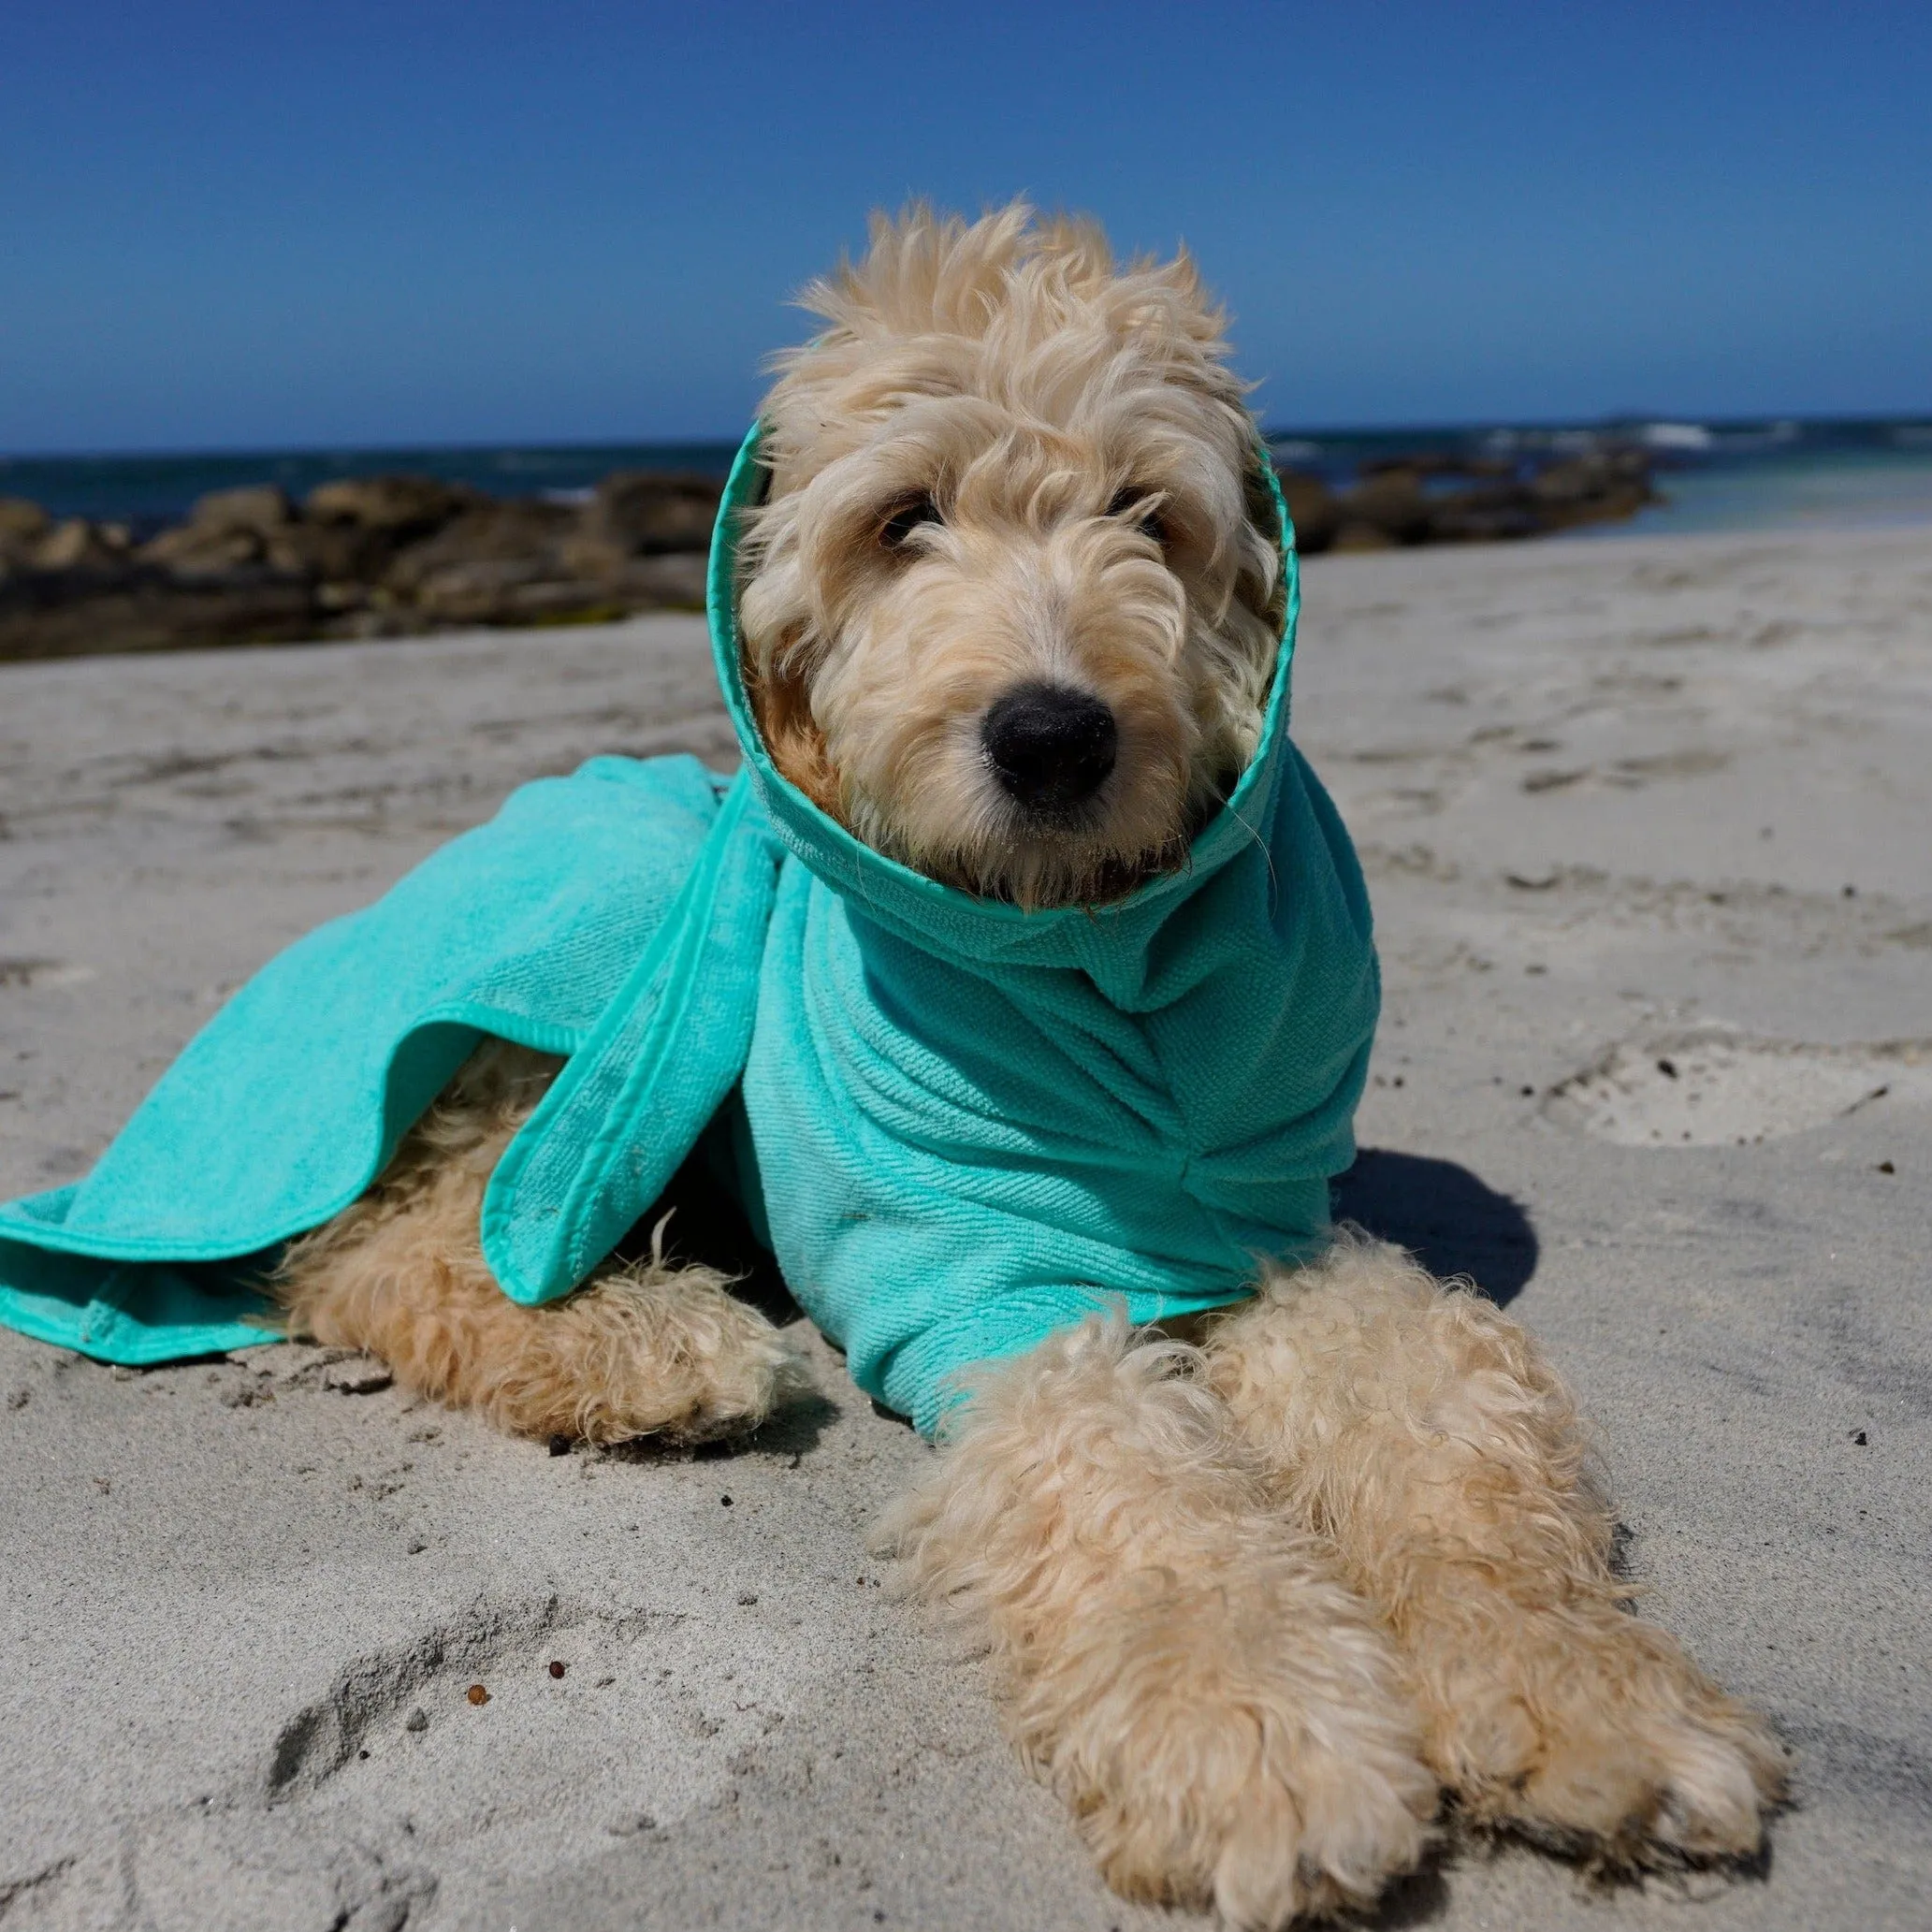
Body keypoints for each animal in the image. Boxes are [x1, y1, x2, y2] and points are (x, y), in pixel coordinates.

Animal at [269, 203, 1777, 1924]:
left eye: (1147, 512)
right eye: (903, 518)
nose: (1053, 738)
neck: (1090, 964)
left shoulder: (1274, 1237)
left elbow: (1440, 1421)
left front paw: (1583, 1694)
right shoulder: (987, 1287)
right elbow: (1124, 1477)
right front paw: (1251, 1733)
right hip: (609, 938)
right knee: (379, 1242)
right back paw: (646, 1347)